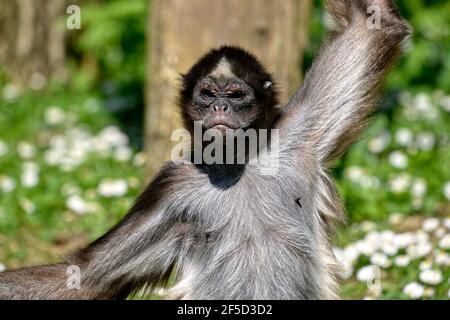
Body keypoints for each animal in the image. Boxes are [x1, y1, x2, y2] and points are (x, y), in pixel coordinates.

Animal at [0, 0, 412, 300]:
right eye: (208, 94)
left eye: (236, 95)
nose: (220, 108)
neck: (236, 167)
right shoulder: (172, 187)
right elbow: (84, 278)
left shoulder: (295, 138)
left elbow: (370, 22)